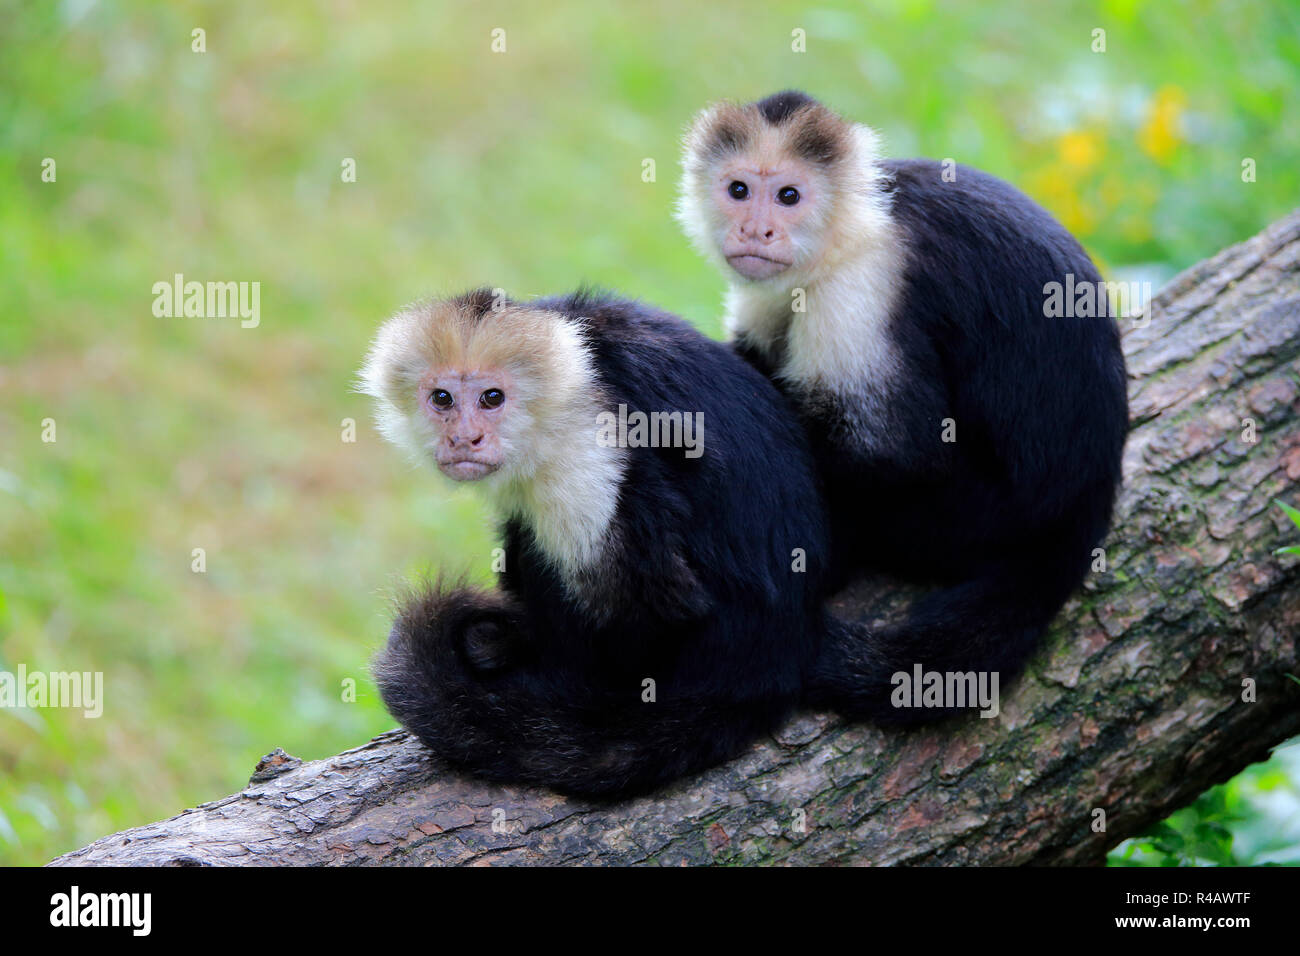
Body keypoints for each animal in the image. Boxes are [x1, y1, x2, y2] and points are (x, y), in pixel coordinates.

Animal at [361, 287, 837, 796]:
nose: (464, 438)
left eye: (492, 398)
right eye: (442, 398)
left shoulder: (588, 444)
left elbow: (662, 607)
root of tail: (771, 664)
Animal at [676, 91, 1133, 717]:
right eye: (739, 189)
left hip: (972, 517)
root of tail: (1090, 492)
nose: (755, 229)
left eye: (789, 196)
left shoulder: (860, 288)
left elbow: (898, 453)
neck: (848, 233)